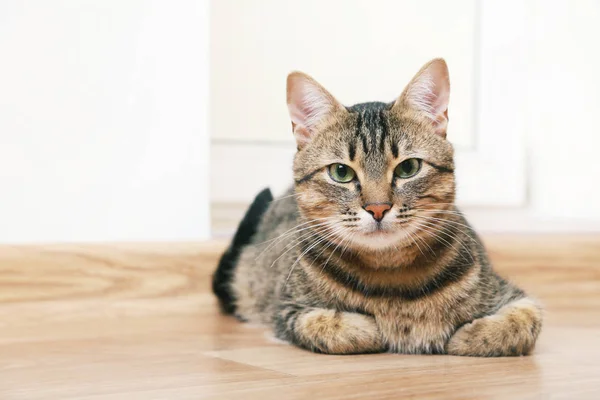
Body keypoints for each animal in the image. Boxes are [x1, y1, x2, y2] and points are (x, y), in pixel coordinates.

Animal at [213, 57, 540, 354]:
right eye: (340, 172)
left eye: (408, 168)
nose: (378, 208)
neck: (391, 278)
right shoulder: (288, 311)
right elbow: (335, 327)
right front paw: (376, 329)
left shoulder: (513, 295)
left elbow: (522, 322)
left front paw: (465, 336)